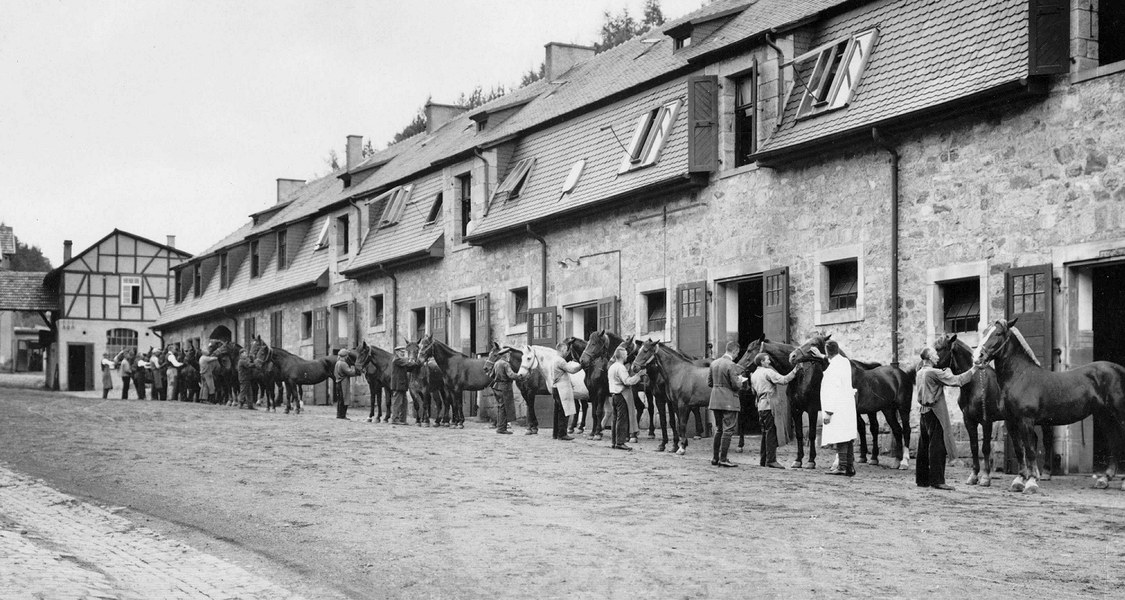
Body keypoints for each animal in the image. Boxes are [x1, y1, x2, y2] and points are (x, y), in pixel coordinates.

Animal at [931, 333, 1003, 486]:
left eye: (939, 348)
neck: (974, 382)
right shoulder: (968, 420)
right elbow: (974, 446)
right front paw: (973, 476)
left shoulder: (986, 421)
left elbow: (985, 448)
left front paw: (985, 477)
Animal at [972, 317, 1125, 490]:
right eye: (984, 332)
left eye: (998, 333)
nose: (977, 356)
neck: (1020, 377)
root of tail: (1119, 369)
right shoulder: (1011, 422)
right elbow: (1019, 450)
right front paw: (1019, 479)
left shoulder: (1026, 421)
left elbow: (1030, 450)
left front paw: (1031, 482)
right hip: (1105, 416)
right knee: (1114, 441)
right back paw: (1104, 479)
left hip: (1119, 415)